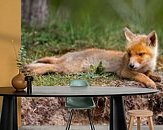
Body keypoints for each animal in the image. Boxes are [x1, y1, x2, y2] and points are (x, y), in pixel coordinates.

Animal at [26, 27, 161, 88]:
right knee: (50, 66)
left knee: (50, 62)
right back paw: (33, 70)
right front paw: (150, 82)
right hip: (70, 69)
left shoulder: (145, 69)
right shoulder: (124, 71)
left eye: (140, 54)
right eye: (129, 53)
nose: (131, 65)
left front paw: (155, 77)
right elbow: (141, 75)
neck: (146, 65)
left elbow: (149, 74)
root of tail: (69, 55)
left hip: (66, 65)